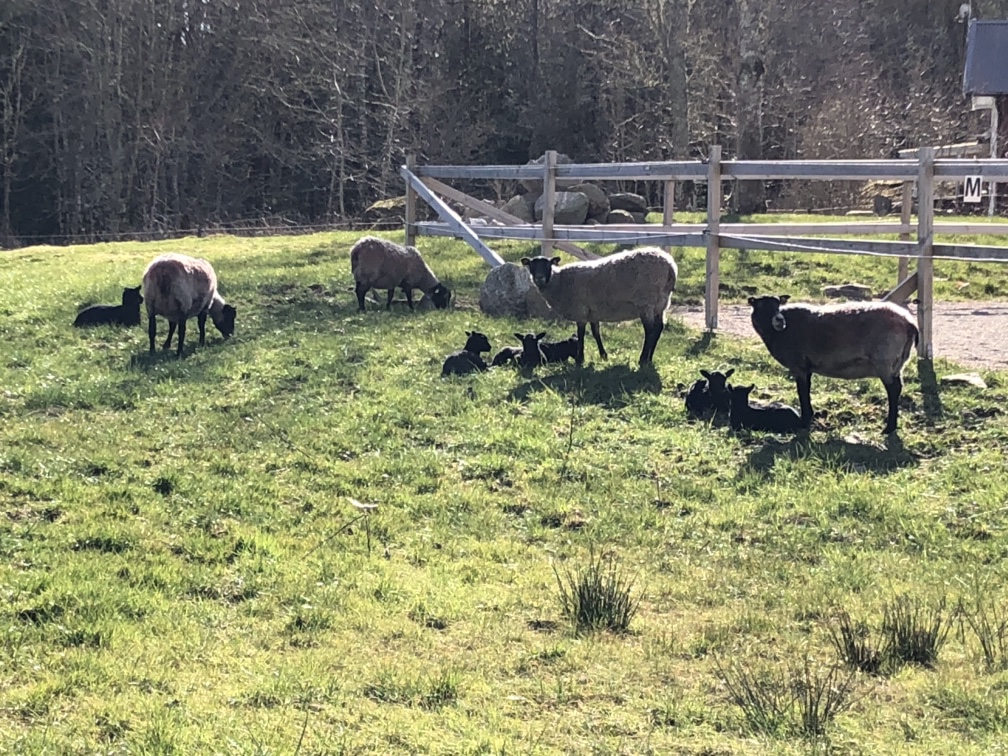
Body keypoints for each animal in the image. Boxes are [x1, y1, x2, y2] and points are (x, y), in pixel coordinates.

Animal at [520, 246, 678, 365]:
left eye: (547, 265)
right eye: (531, 266)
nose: (539, 278)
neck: (558, 281)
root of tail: (670, 267)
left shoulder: (580, 310)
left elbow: (581, 334)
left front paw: (580, 359)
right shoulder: (592, 312)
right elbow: (596, 333)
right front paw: (603, 355)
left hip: (646, 302)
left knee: (650, 330)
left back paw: (643, 359)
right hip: (660, 303)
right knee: (658, 328)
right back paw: (649, 359)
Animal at [748, 294, 919, 434]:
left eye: (778, 305)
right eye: (760, 306)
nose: (779, 320)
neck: (780, 332)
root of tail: (909, 323)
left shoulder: (799, 366)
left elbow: (802, 391)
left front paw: (804, 421)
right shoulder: (807, 367)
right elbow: (806, 390)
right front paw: (810, 416)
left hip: (884, 361)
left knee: (893, 389)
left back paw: (889, 428)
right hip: (896, 364)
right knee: (898, 388)